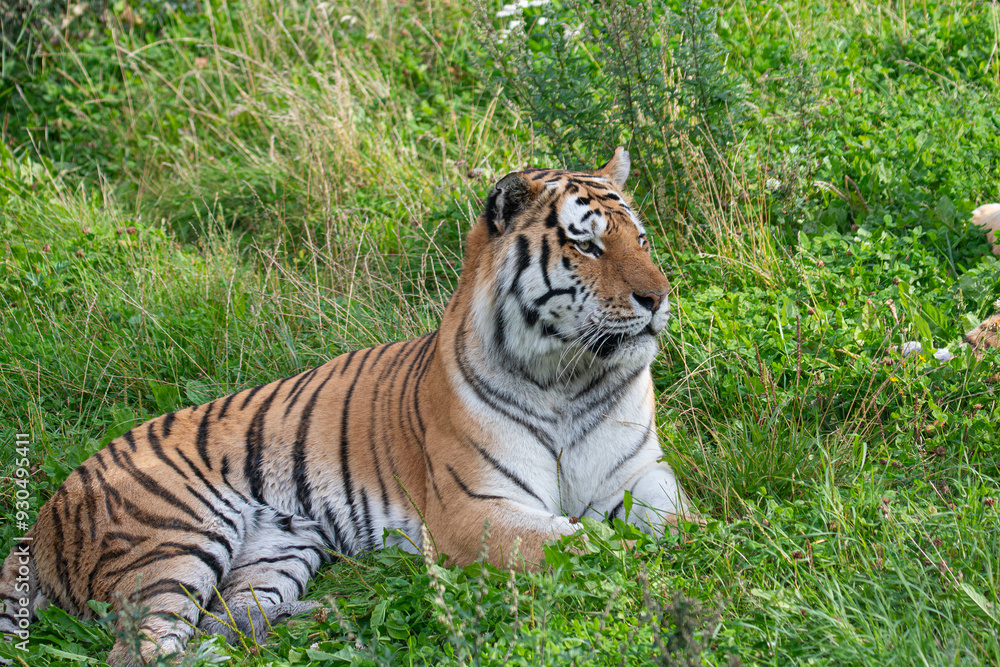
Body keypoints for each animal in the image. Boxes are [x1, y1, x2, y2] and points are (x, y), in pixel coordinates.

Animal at [0, 147, 696, 666]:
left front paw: (705, 549)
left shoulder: (640, 476)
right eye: (587, 246)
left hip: (278, 548)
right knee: (144, 649)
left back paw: (327, 619)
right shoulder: (476, 509)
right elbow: (587, 546)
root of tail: (45, 513)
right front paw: (655, 573)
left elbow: (683, 525)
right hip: (172, 539)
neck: (568, 380)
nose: (659, 298)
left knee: (226, 625)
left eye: (640, 239)